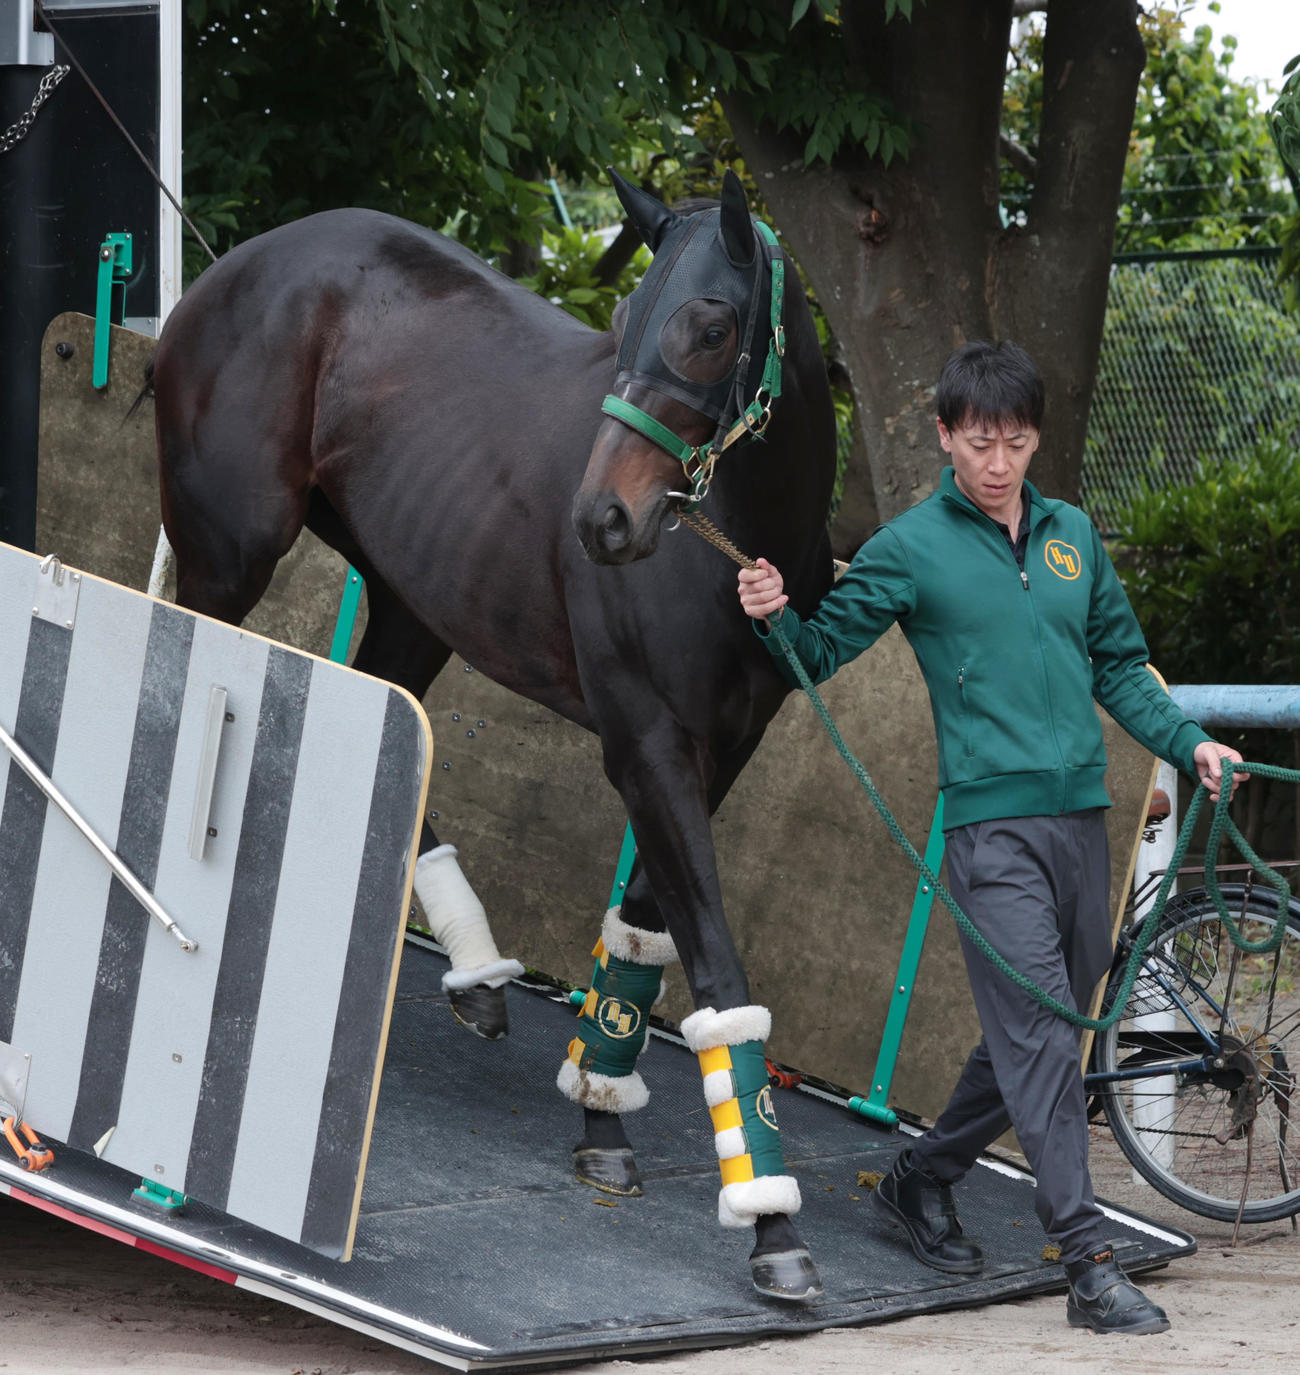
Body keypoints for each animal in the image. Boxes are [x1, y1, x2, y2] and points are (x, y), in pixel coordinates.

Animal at [151, 169, 838, 1300]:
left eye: (710, 326)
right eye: (624, 318)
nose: (601, 522)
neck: (726, 544)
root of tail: (235, 267)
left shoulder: (718, 750)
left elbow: (645, 933)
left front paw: (602, 1117)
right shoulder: (647, 744)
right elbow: (716, 968)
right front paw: (774, 1225)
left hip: (409, 591)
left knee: (387, 704)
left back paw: (473, 968)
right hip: (230, 556)